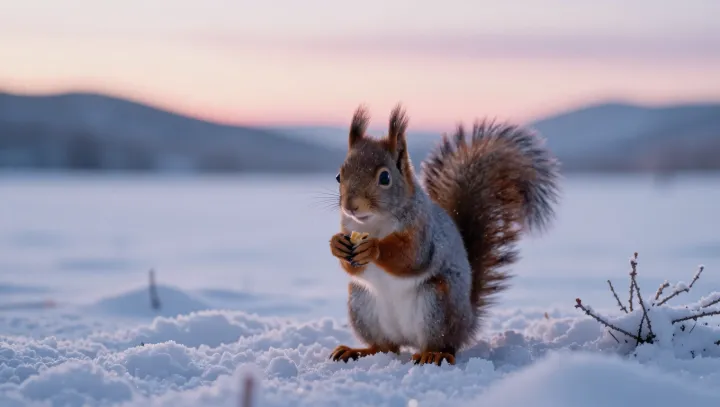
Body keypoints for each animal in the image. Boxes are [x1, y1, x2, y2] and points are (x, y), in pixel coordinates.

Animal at [328, 104, 560, 366]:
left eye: (385, 177)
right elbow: (352, 267)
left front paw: (373, 248)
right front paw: (336, 244)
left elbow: (410, 257)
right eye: (339, 176)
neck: (374, 224)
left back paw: (433, 354)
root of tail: (468, 322)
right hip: (362, 304)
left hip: (437, 304)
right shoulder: (350, 229)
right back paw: (358, 351)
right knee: (385, 347)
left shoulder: (422, 232)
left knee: (444, 344)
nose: (350, 206)